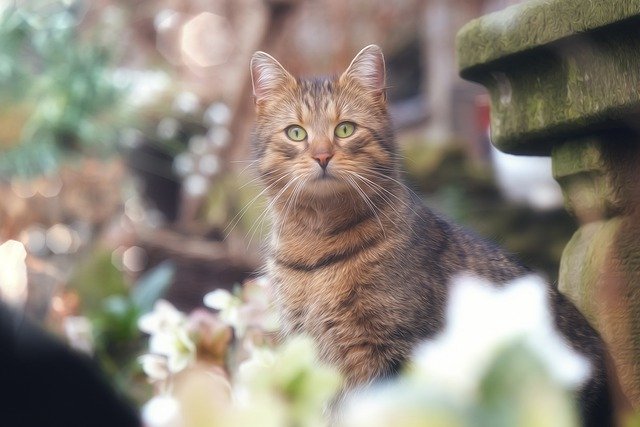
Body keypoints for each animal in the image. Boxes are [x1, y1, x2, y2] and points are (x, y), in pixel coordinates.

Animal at [248, 45, 612, 426]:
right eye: (296, 133)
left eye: (345, 129)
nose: (322, 155)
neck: (318, 246)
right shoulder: (309, 352)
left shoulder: (389, 350)